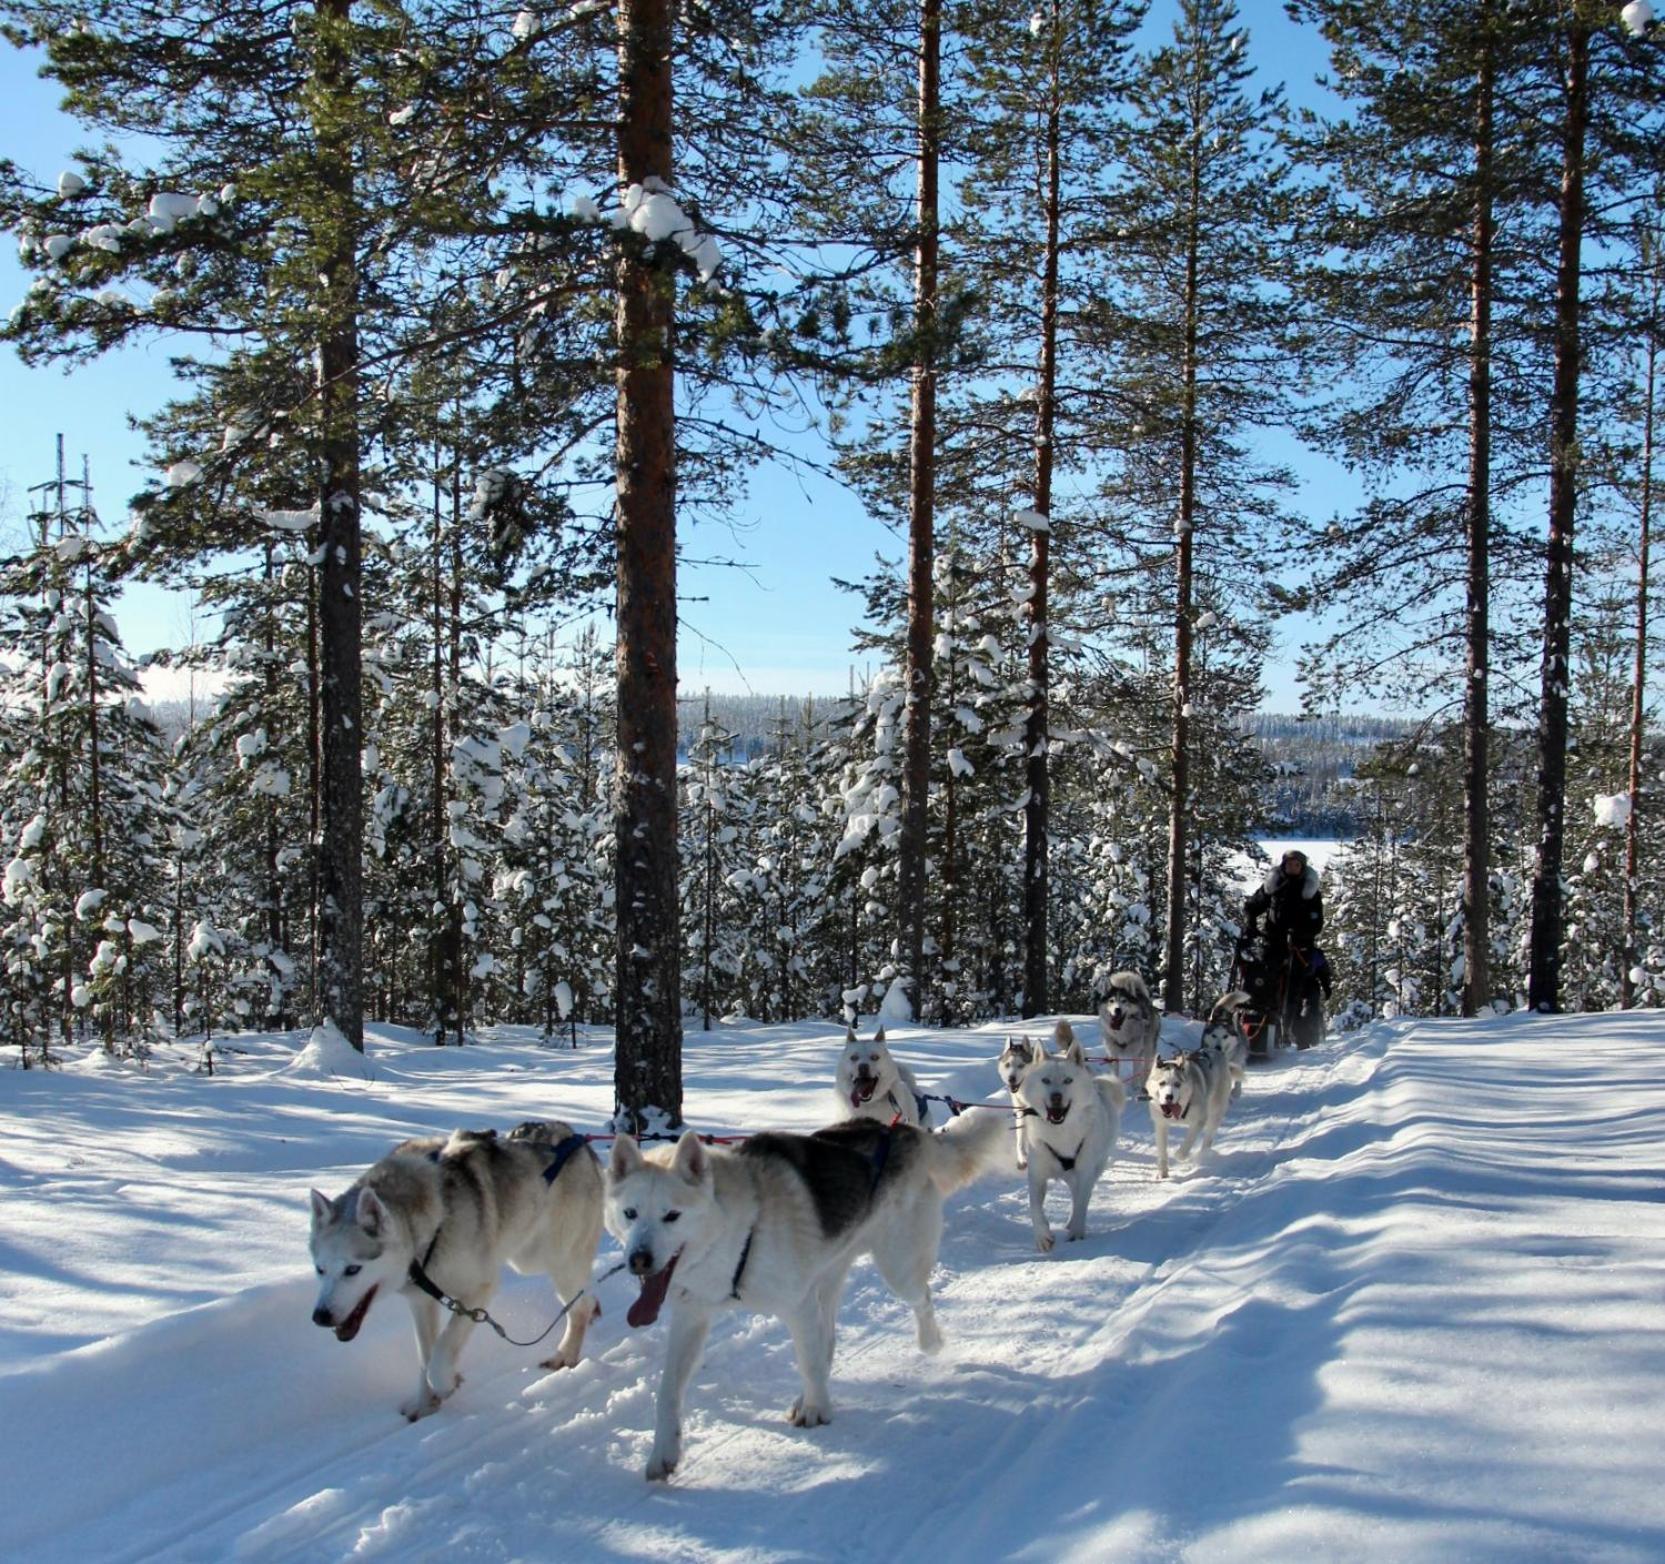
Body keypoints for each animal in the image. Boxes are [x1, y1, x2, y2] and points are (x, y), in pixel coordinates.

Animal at [309, 1119, 602, 1425]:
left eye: (353, 1269)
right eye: (320, 1269)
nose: (320, 1316)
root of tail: (575, 1138)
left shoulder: (479, 1291)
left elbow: (440, 1354)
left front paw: (446, 1382)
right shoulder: (421, 1301)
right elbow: (425, 1358)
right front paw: (425, 1404)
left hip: (554, 1259)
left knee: (579, 1306)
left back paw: (566, 1354)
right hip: (531, 1257)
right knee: (584, 1300)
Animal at [609, 1112, 999, 1479]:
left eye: (672, 1216)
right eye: (630, 1213)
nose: (638, 1260)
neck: (739, 1229)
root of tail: (902, 1131)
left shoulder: (797, 1307)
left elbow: (808, 1363)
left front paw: (816, 1410)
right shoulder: (691, 1318)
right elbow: (667, 1391)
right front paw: (663, 1453)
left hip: (896, 1268)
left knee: (921, 1300)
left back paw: (929, 1342)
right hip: (827, 1280)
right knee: (828, 1340)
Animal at [992, 1032, 1045, 1165]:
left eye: (1021, 1065)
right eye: (1007, 1065)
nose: (1011, 1079)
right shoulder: (1021, 1111)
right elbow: (1020, 1137)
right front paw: (1022, 1156)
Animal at [1005, 1019, 1125, 1252]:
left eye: (1068, 1080)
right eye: (1045, 1080)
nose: (1056, 1097)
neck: (1060, 1132)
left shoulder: (1085, 1171)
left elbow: (1081, 1203)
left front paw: (1076, 1232)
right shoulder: (1037, 1173)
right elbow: (1034, 1207)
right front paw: (1043, 1236)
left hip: (1095, 1166)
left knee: (1080, 1195)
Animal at [1145, 1045, 1238, 1179]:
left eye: (1177, 1084)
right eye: (1162, 1083)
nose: (1169, 1097)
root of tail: (1216, 1051)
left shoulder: (1199, 1121)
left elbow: (1188, 1142)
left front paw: (1181, 1155)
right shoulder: (1161, 1124)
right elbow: (1162, 1150)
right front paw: (1162, 1172)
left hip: (1215, 1113)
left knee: (1208, 1137)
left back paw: (1204, 1156)